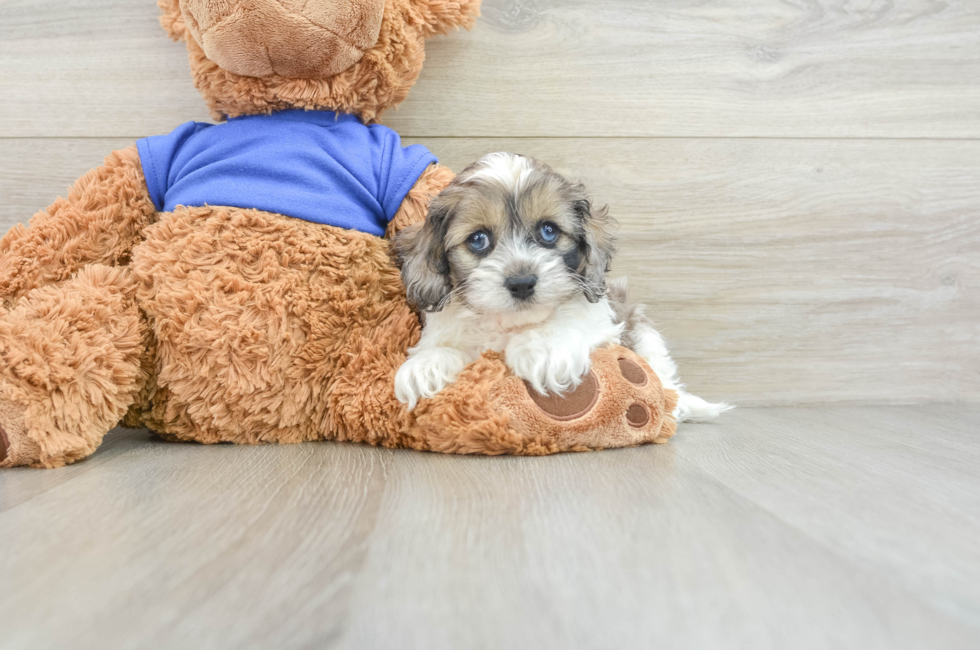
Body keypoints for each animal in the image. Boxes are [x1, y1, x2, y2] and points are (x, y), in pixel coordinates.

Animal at [392, 152, 728, 420]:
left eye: (549, 231)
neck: (511, 325)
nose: (521, 283)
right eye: (478, 239)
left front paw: (541, 350)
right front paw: (425, 366)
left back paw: (677, 404)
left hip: (645, 335)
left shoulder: (602, 321)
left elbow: (568, 322)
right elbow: (447, 346)